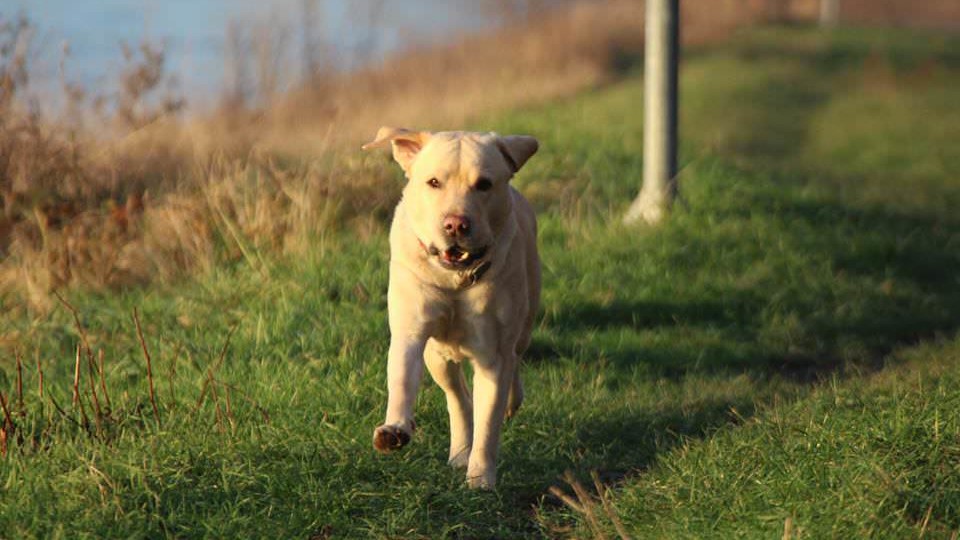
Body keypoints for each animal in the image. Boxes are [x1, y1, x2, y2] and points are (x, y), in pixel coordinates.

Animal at [362, 126, 540, 490]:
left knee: (515, 360)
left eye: (484, 184)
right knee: (457, 397)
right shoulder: (411, 330)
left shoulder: (493, 354)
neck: (455, 280)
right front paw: (394, 428)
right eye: (433, 182)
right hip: (438, 356)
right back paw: (458, 451)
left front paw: (481, 479)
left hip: (526, 317)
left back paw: (510, 403)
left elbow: (488, 423)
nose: (456, 224)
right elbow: (402, 378)